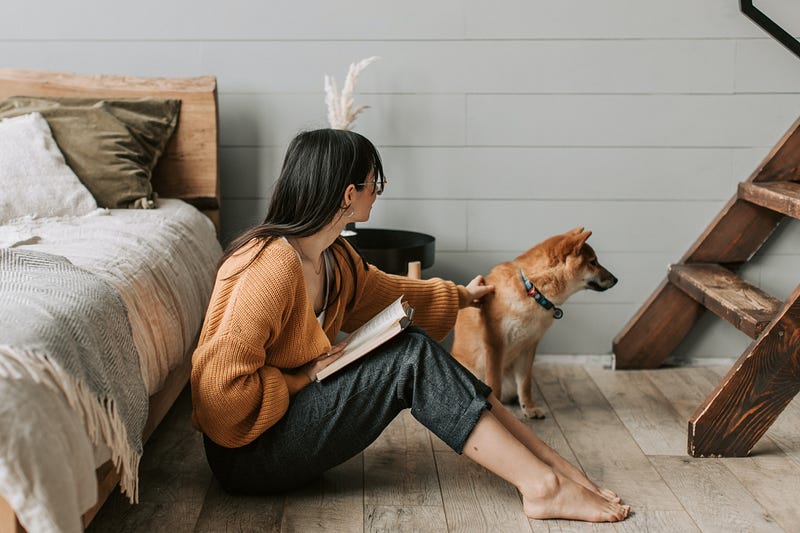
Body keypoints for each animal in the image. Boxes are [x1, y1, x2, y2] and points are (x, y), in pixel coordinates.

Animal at [450, 227, 620, 418]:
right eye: (593, 262)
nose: (616, 279)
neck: (532, 290)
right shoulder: (495, 345)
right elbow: (494, 384)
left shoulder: (529, 346)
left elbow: (525, 383)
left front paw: (529, 408)